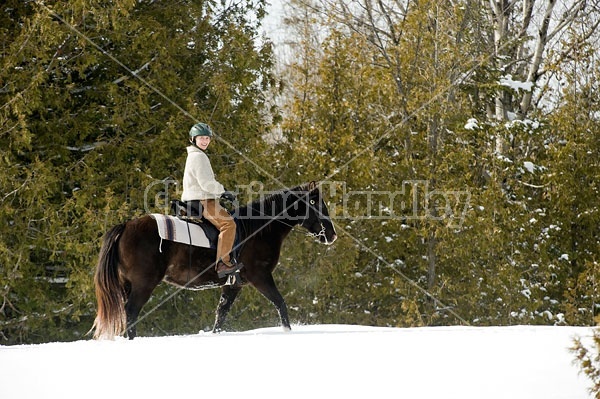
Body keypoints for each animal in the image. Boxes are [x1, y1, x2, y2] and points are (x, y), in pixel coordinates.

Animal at [92, 182, 338, 340]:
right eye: (316, 203)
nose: (332, 235)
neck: (257, 229)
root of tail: (126, 227)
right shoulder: (260, 276)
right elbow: (280, 303)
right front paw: (288, 332)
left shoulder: (234, 284)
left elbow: (221, 314)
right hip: (144, 283)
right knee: (131, 311)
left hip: (128, 284)